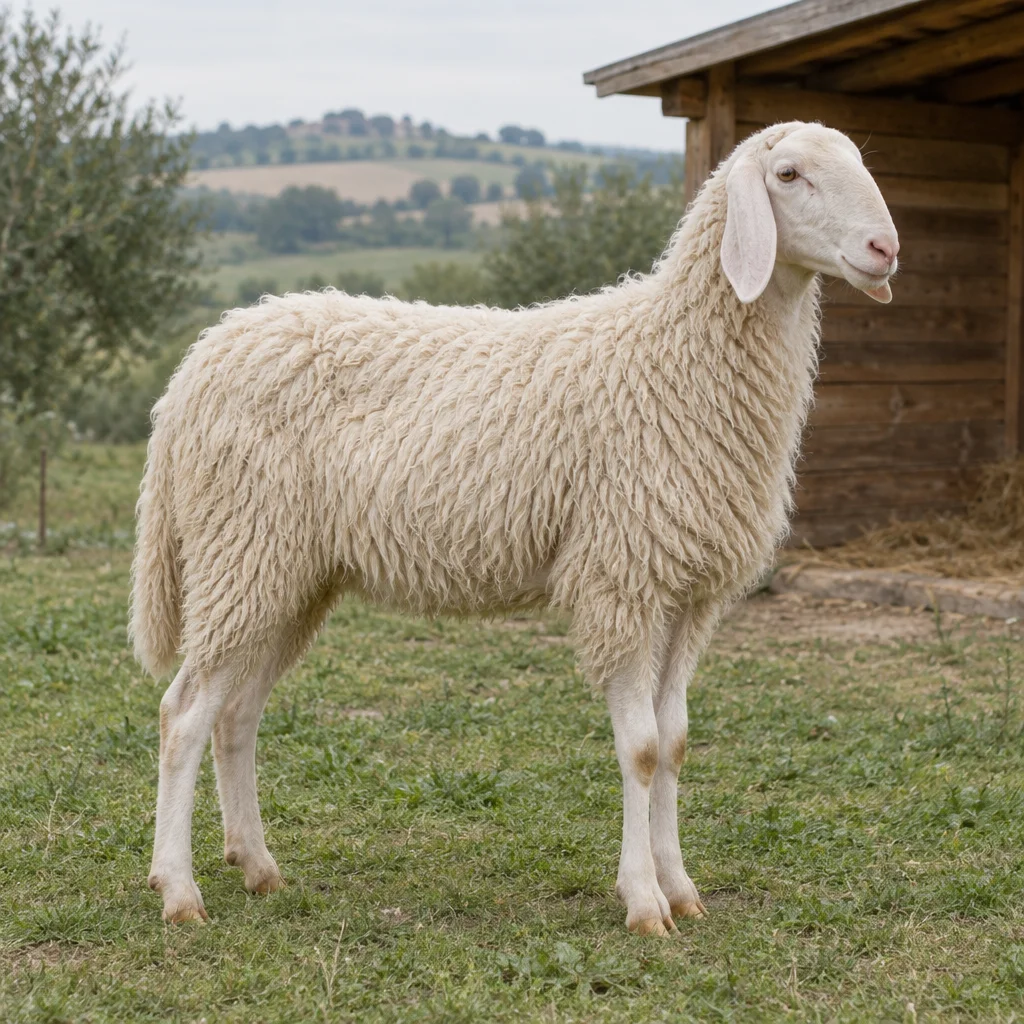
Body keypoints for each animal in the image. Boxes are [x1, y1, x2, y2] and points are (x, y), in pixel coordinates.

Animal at [132, 121, 898, 933]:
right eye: (788, 175)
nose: (885, 249)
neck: (672, 354)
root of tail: (195, 366)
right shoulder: (621, 576)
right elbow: (642, 749)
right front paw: (642, 900)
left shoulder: (689, 591)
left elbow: (676, 743)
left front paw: (682, 890)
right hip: (241, 546)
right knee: (183, 714)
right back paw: (178, 891)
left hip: (288, 572)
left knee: (236, 715)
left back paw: (258, 866)